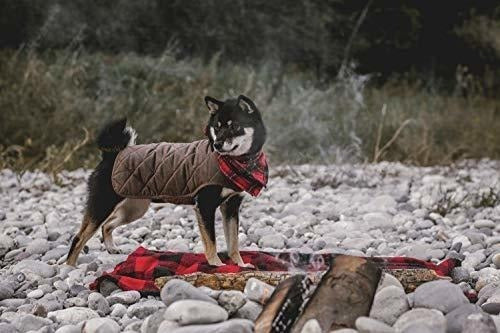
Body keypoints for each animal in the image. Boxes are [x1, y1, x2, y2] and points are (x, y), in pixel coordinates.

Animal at [67, 94, 270, 266]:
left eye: (234, 126)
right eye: (217, 127)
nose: (218, 144)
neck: (237, 163)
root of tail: (112, 155)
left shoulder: (231, 206)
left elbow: (233, 243)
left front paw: (240, 265)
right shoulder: (205, 206)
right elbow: (211, 242)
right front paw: (216, 265)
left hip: (134, 208)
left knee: (107, 226)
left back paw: (110, 248)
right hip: (103, 204)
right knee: (79, 238)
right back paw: (70, 266)